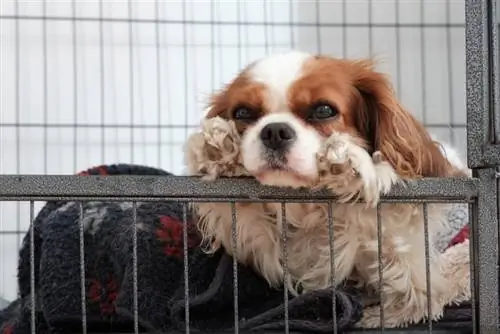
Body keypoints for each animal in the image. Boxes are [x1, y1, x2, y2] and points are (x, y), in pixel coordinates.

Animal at [183, 51, 468, 328]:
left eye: (323, 110)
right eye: (242, 113)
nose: (274, 130)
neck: (312, 209)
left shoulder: (415, 265)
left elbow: (412, 285)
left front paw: (352, 164)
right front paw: (218, 149)